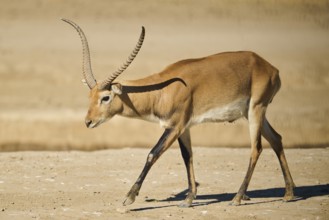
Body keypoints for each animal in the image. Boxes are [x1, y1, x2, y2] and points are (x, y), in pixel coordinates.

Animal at [61, 18, 294, 207]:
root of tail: (270, 67)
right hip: (252, 112)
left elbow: (152, 153)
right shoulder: (184, 128)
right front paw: (189, 198)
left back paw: (238, 198)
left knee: (256, 148)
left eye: (106, 97)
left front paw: (129, 197)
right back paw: (288, 194)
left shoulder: (175, 126)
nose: (88, 121)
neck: (162, 91)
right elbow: (187, 156)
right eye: (90, 96)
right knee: (277, 139)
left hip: (256, 109)